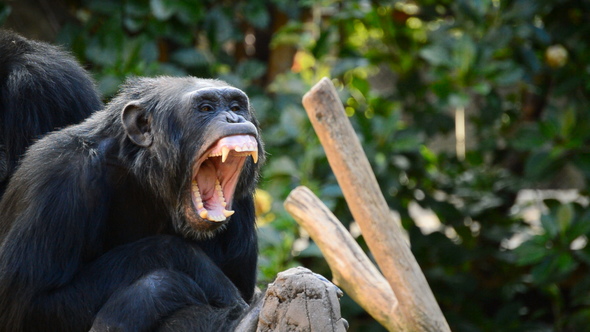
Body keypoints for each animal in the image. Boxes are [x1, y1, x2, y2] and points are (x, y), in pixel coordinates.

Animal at [0, 74, 266, 330]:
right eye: (206, 108)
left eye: (236, 106)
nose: (233, 118)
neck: (142, 171)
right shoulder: (58, 178)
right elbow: (29, 303)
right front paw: (174, 277)